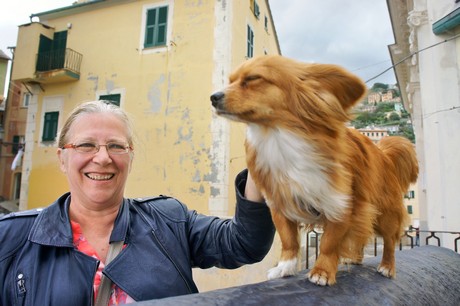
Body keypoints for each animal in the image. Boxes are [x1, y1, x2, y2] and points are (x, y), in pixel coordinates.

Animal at [210, 55, 418, 286]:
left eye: (253, 78)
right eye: (230, 81)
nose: (213, 97)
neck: (277, 138)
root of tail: (384, 154)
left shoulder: (342, 205)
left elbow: (329, 243)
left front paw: (322, 272)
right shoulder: (280, 203)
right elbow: (289, 240)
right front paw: (285, 267)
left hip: (385, 214)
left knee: (390, 241)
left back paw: (387, 266)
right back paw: (355, 259)